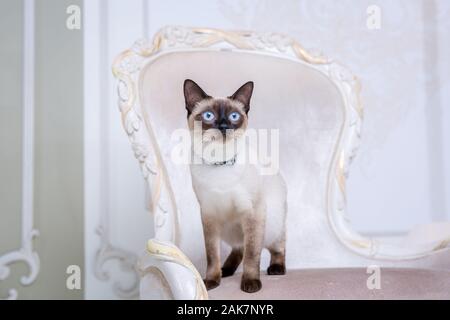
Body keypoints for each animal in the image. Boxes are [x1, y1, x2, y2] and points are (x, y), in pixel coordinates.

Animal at [182, 79, 284, 292]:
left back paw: (277, 268)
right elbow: (212, 255)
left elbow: (252, 254)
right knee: (238, 248)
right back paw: (226, 270)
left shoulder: (252, 212)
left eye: (233, 116)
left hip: (271, 225)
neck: (219, 162)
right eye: (209, 115)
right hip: (232, 228)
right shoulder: (209, 215)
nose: (223, 126)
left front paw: (251, 283)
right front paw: (211, 281)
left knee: (276, 247)